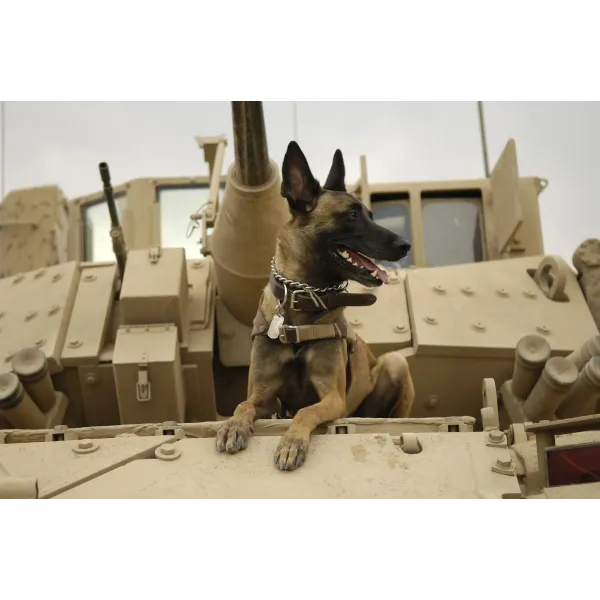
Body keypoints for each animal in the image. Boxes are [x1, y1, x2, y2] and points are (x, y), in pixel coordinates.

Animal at [216, 143, 418, 472]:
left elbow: (305, 411)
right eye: (352, 215)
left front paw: (291, 443)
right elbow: (243, 404)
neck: (302, 301)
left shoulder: (332, 398)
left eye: (371, 215)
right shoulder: (263, 396)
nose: (404, 245)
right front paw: (233, 425)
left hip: (395, 363)